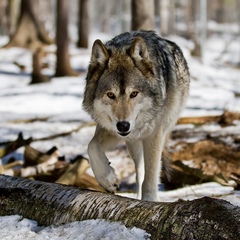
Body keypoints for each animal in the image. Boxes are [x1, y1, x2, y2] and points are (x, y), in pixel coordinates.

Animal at [82, 30, 189, 202]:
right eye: (110, 95)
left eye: (134, 94)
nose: (123, 125)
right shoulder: (112, 129)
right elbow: (91, 146)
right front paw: (107, 179)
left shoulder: (154, 135)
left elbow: (151, 175)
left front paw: (150, 201)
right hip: (133, 144)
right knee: (139, 172)